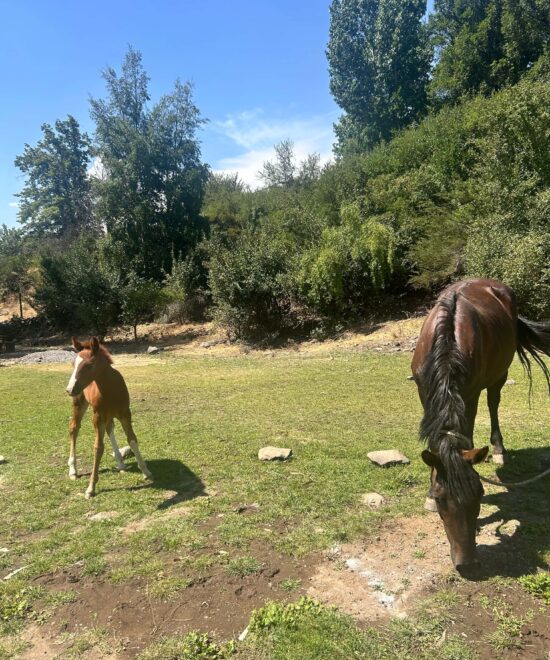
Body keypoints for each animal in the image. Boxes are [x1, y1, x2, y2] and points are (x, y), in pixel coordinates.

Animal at [66, 338, 153, 498]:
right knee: (74, 428)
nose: (69, 389)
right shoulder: (97, 417)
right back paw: (73, 470)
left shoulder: (125, 414)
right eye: (73, 364)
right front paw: (91, 488)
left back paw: (120, 463)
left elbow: (132, 440)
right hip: (80, 403)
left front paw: (146, 471)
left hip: (109, 415)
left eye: (89, 365)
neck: (110, 389)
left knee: (109, 428)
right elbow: (98, 447)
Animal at [414, 278, 550, 572]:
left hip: (500, 373)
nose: (466, 563)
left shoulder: (471, 393)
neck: (447, 345)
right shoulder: (423, 392)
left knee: (494, 402)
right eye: (441, 499)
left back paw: (498, 450)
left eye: (479, 494)